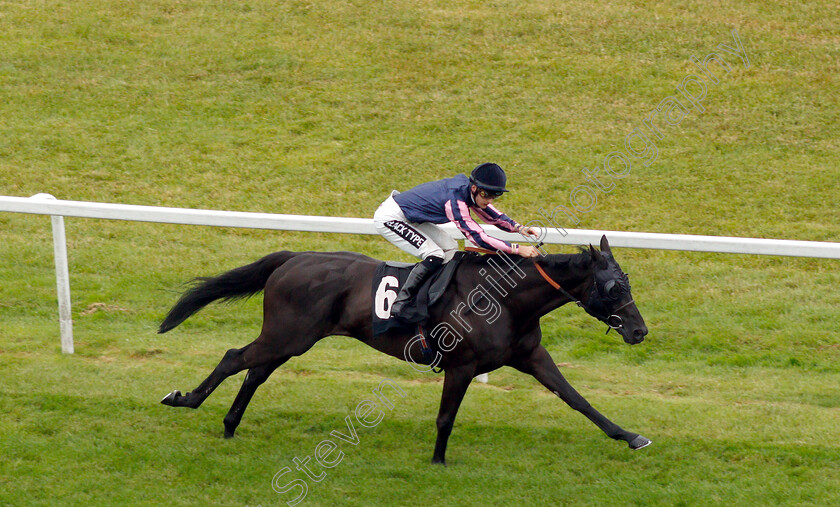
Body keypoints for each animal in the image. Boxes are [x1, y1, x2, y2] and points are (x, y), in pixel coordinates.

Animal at [161, 235, 652, 464]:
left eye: (628, 283)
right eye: (612, 287)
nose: (639, 330)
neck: (505, 299)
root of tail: (294, 257)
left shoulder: (531, 356)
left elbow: (577, 399)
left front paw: (630, 436)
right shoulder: (462, 364)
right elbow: (446, 416)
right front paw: (438, 460)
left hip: (291, 339)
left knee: (255, 371)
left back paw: (229, 424)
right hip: (289, 334)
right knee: (236, 358)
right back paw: (184, 399)